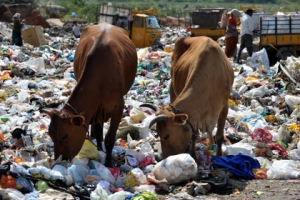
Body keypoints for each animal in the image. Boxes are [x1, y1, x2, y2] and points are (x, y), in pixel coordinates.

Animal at [47, 22, 138, 166]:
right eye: (50, 134)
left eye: (65, 136)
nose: (61, 160)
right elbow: (97, 129)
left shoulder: (118, 106)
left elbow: (110, 138)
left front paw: (108, 164)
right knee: (97, 128)